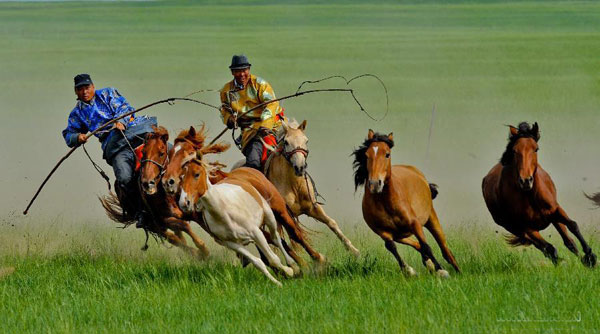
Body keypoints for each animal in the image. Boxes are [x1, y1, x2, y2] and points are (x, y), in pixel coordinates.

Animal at [262, 119, 356, 256]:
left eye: (306, 140)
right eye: (286, 142)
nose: (300, 167)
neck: (294, 185)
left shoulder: (312, 207)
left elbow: (331, 223)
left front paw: (354, 250)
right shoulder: (287, 214)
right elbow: (294, 235)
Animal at [352, 129, 460, 278]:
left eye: (387, 154)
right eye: (366, 155)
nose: (374, 184)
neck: (386, 202)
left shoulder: (415, 223)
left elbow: (427, 246)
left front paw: (441, 270)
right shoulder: (383, 232)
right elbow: (391, 247)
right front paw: (409, 270)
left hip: (430, 218)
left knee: (444, 250)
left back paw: (457, 270)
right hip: (400, 235)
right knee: (417, 245)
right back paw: (428, 264)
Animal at [482, 122, 596, 266]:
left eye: (536, 149)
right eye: (514, 150)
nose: (526, 181)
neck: (530, 196)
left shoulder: (555, 210)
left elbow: (573, 226)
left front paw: (590, 256)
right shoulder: (525, 227)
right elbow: (549, 248)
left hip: (552, 218)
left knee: (568, 241)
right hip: (516, 228)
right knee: (547, 248)